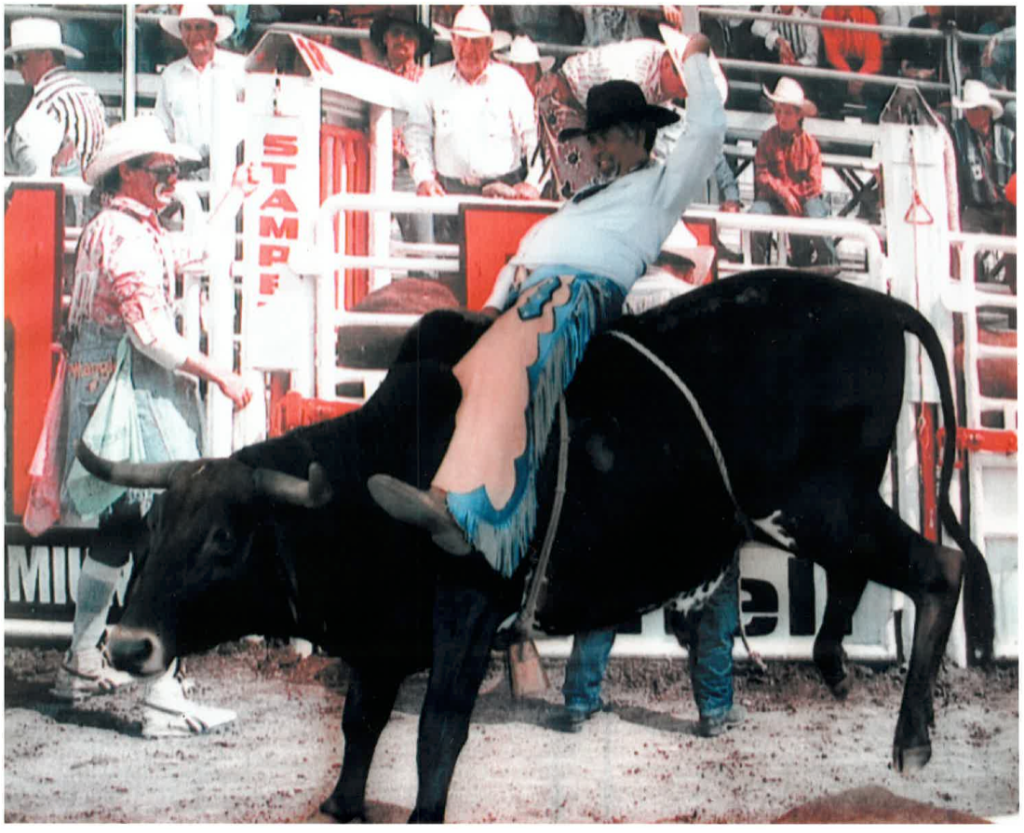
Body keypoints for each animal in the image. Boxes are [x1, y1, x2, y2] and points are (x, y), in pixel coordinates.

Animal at [83, 270, 995, 819]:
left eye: (222, 540)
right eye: (149, 534)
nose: (129, 645)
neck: (396, 461)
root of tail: (878, 303)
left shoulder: (467, 611)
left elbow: (436, 732)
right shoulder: (380, 641)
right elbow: (359, 726)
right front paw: (340, 805)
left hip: (822, 504)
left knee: (939, 566)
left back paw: (912, 735)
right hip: (830, 506)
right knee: (871, 575)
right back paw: (837, 657)